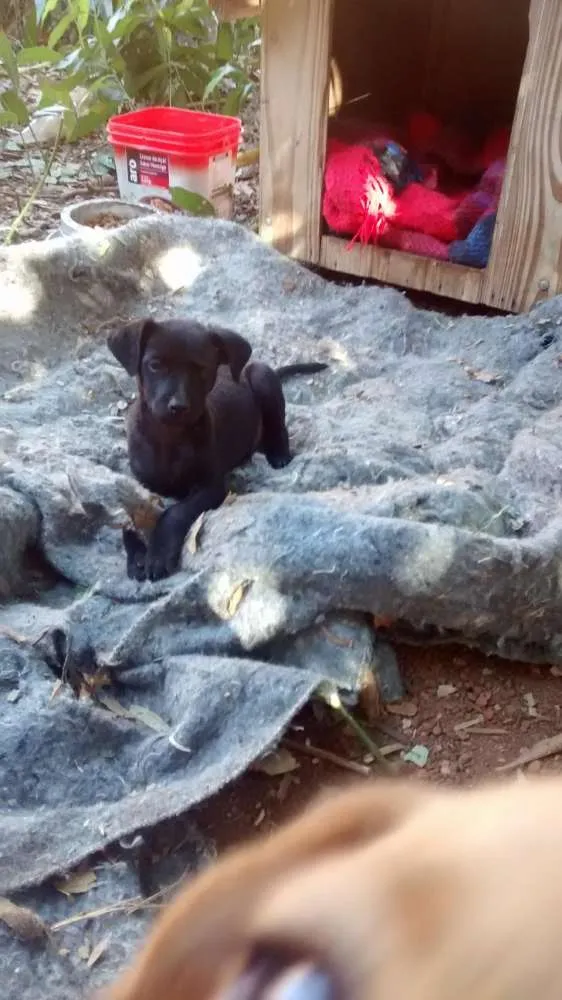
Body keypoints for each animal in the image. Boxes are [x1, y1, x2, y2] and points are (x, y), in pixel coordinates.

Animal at [106, 312, 324, 580]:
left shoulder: (212, 487)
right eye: (155, 365)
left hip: (262, 377)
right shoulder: (140, 484)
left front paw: (158, 554)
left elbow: (176, 512)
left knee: (278, 424)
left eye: (201, 369)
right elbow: (129, 520)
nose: (178, 406)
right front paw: (137, 556)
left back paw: (279, 453)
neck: (170, 437)